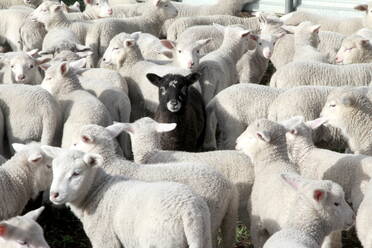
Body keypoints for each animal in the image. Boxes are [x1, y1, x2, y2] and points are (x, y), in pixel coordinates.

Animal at [44, 147, 214, 248]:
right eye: (53, 169)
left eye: (76, 173)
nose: (54, 194)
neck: (96, 192)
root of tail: (189, 211)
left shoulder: (106, 240)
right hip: (205, 236)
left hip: (161, 242)